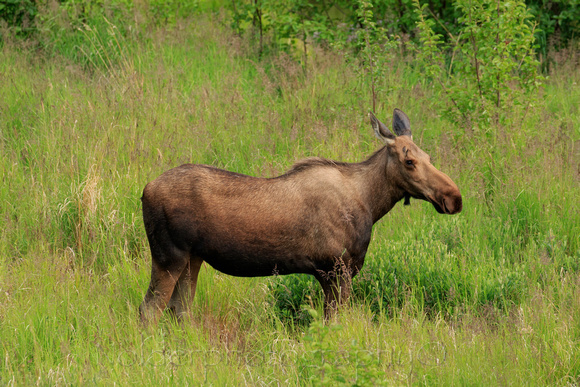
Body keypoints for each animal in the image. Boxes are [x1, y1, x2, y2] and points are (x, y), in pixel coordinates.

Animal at [140, 110, 462, 324]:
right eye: (409, 161)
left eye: (430, 157)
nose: (454, 198)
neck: (371, 204)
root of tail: (145, 190)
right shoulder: (336, 269)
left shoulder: (329, 274)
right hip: (169, 256)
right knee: (150, 309)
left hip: (193, 258)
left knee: (179, 308)